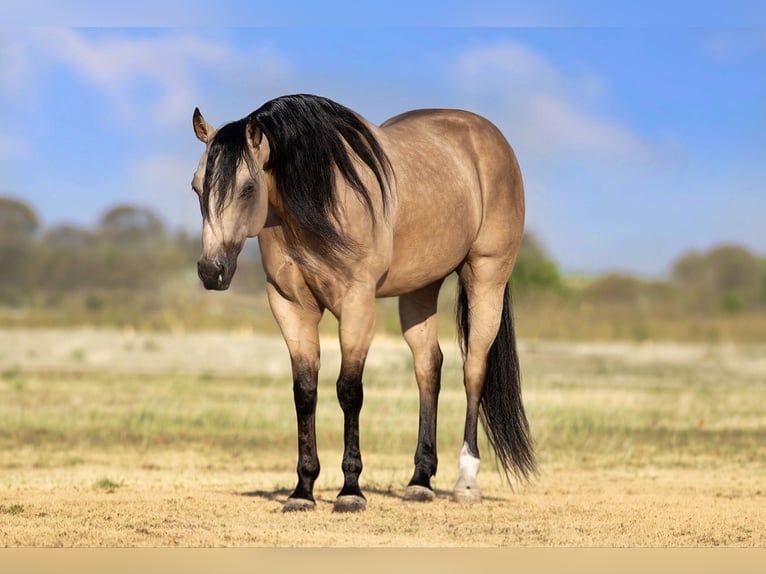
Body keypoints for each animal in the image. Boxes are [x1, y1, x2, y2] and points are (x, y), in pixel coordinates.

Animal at [191, 94, 534, 512]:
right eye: (196, 187)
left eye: (248, 187)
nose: (212, 271)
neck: (319, 198)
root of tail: (490, 138)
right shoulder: (290, 306)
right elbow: (305, 391)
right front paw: (302, 490)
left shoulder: (357, 305)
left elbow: (349, 391)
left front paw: (350, 490)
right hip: (421, 288)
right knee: (428, 367)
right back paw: (420, 481)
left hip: (486, 277)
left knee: (474, 370)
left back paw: (466, 481)